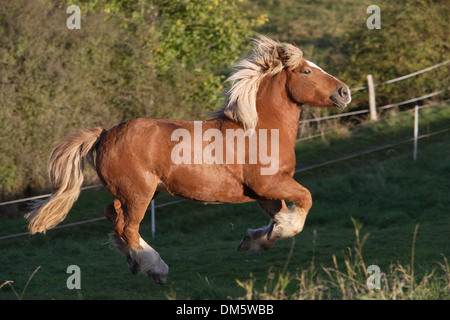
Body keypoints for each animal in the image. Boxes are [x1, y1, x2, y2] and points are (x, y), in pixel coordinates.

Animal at [26, 36, 352, 284]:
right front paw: (277, 230)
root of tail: (106, 134)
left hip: (136, 193)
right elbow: (304, 202)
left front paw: (253, 239)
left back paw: (134, 262)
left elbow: (278, 217)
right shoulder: (270, 183)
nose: (344, 91)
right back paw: (155, 268)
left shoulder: (264, 193)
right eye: (306, 72)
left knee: (113, 216)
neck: (260, 129)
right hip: (138, 193)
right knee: (127, 227)